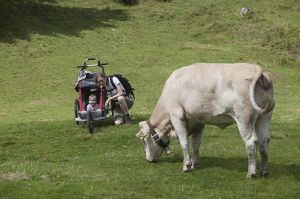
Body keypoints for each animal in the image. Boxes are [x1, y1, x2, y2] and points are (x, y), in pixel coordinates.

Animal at [136, 63, 274, 177]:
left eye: (144, 140)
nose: (148, 159)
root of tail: (255, 68)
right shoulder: (198, 121)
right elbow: (195, 143)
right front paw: (194, 163)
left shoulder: (176, 115)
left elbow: (184, 142)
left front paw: (186, 165)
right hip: (264, 117)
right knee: (264, 141)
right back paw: (264, 171)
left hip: (244, 118)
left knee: (251, 142)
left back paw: (251, 173)